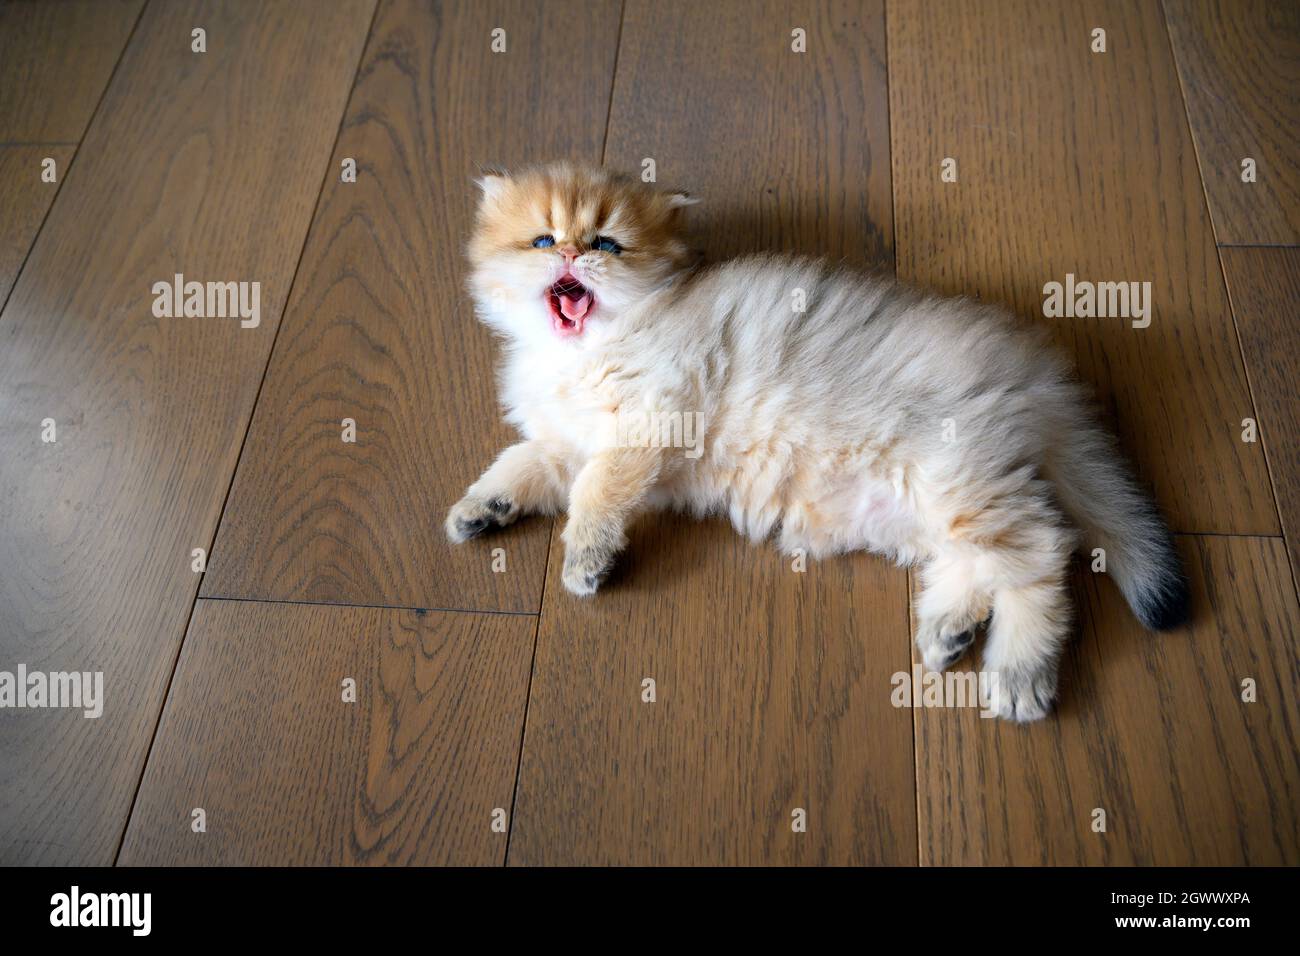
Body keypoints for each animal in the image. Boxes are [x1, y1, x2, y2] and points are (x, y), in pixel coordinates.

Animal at [452, 160, 1190, 723]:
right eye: (542, 240)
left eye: (606, 245)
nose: (571, 255)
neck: (585, 351)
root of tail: (1039, 371)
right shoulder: (567, 443)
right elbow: (523, 464)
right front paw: (482, 509)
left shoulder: (649, 418)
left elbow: (596, 495)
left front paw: (585, 558)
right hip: (930, 505)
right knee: (982, 560)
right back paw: (948, 631)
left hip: (954, 473)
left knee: (1040, 551)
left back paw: (1018, 672)